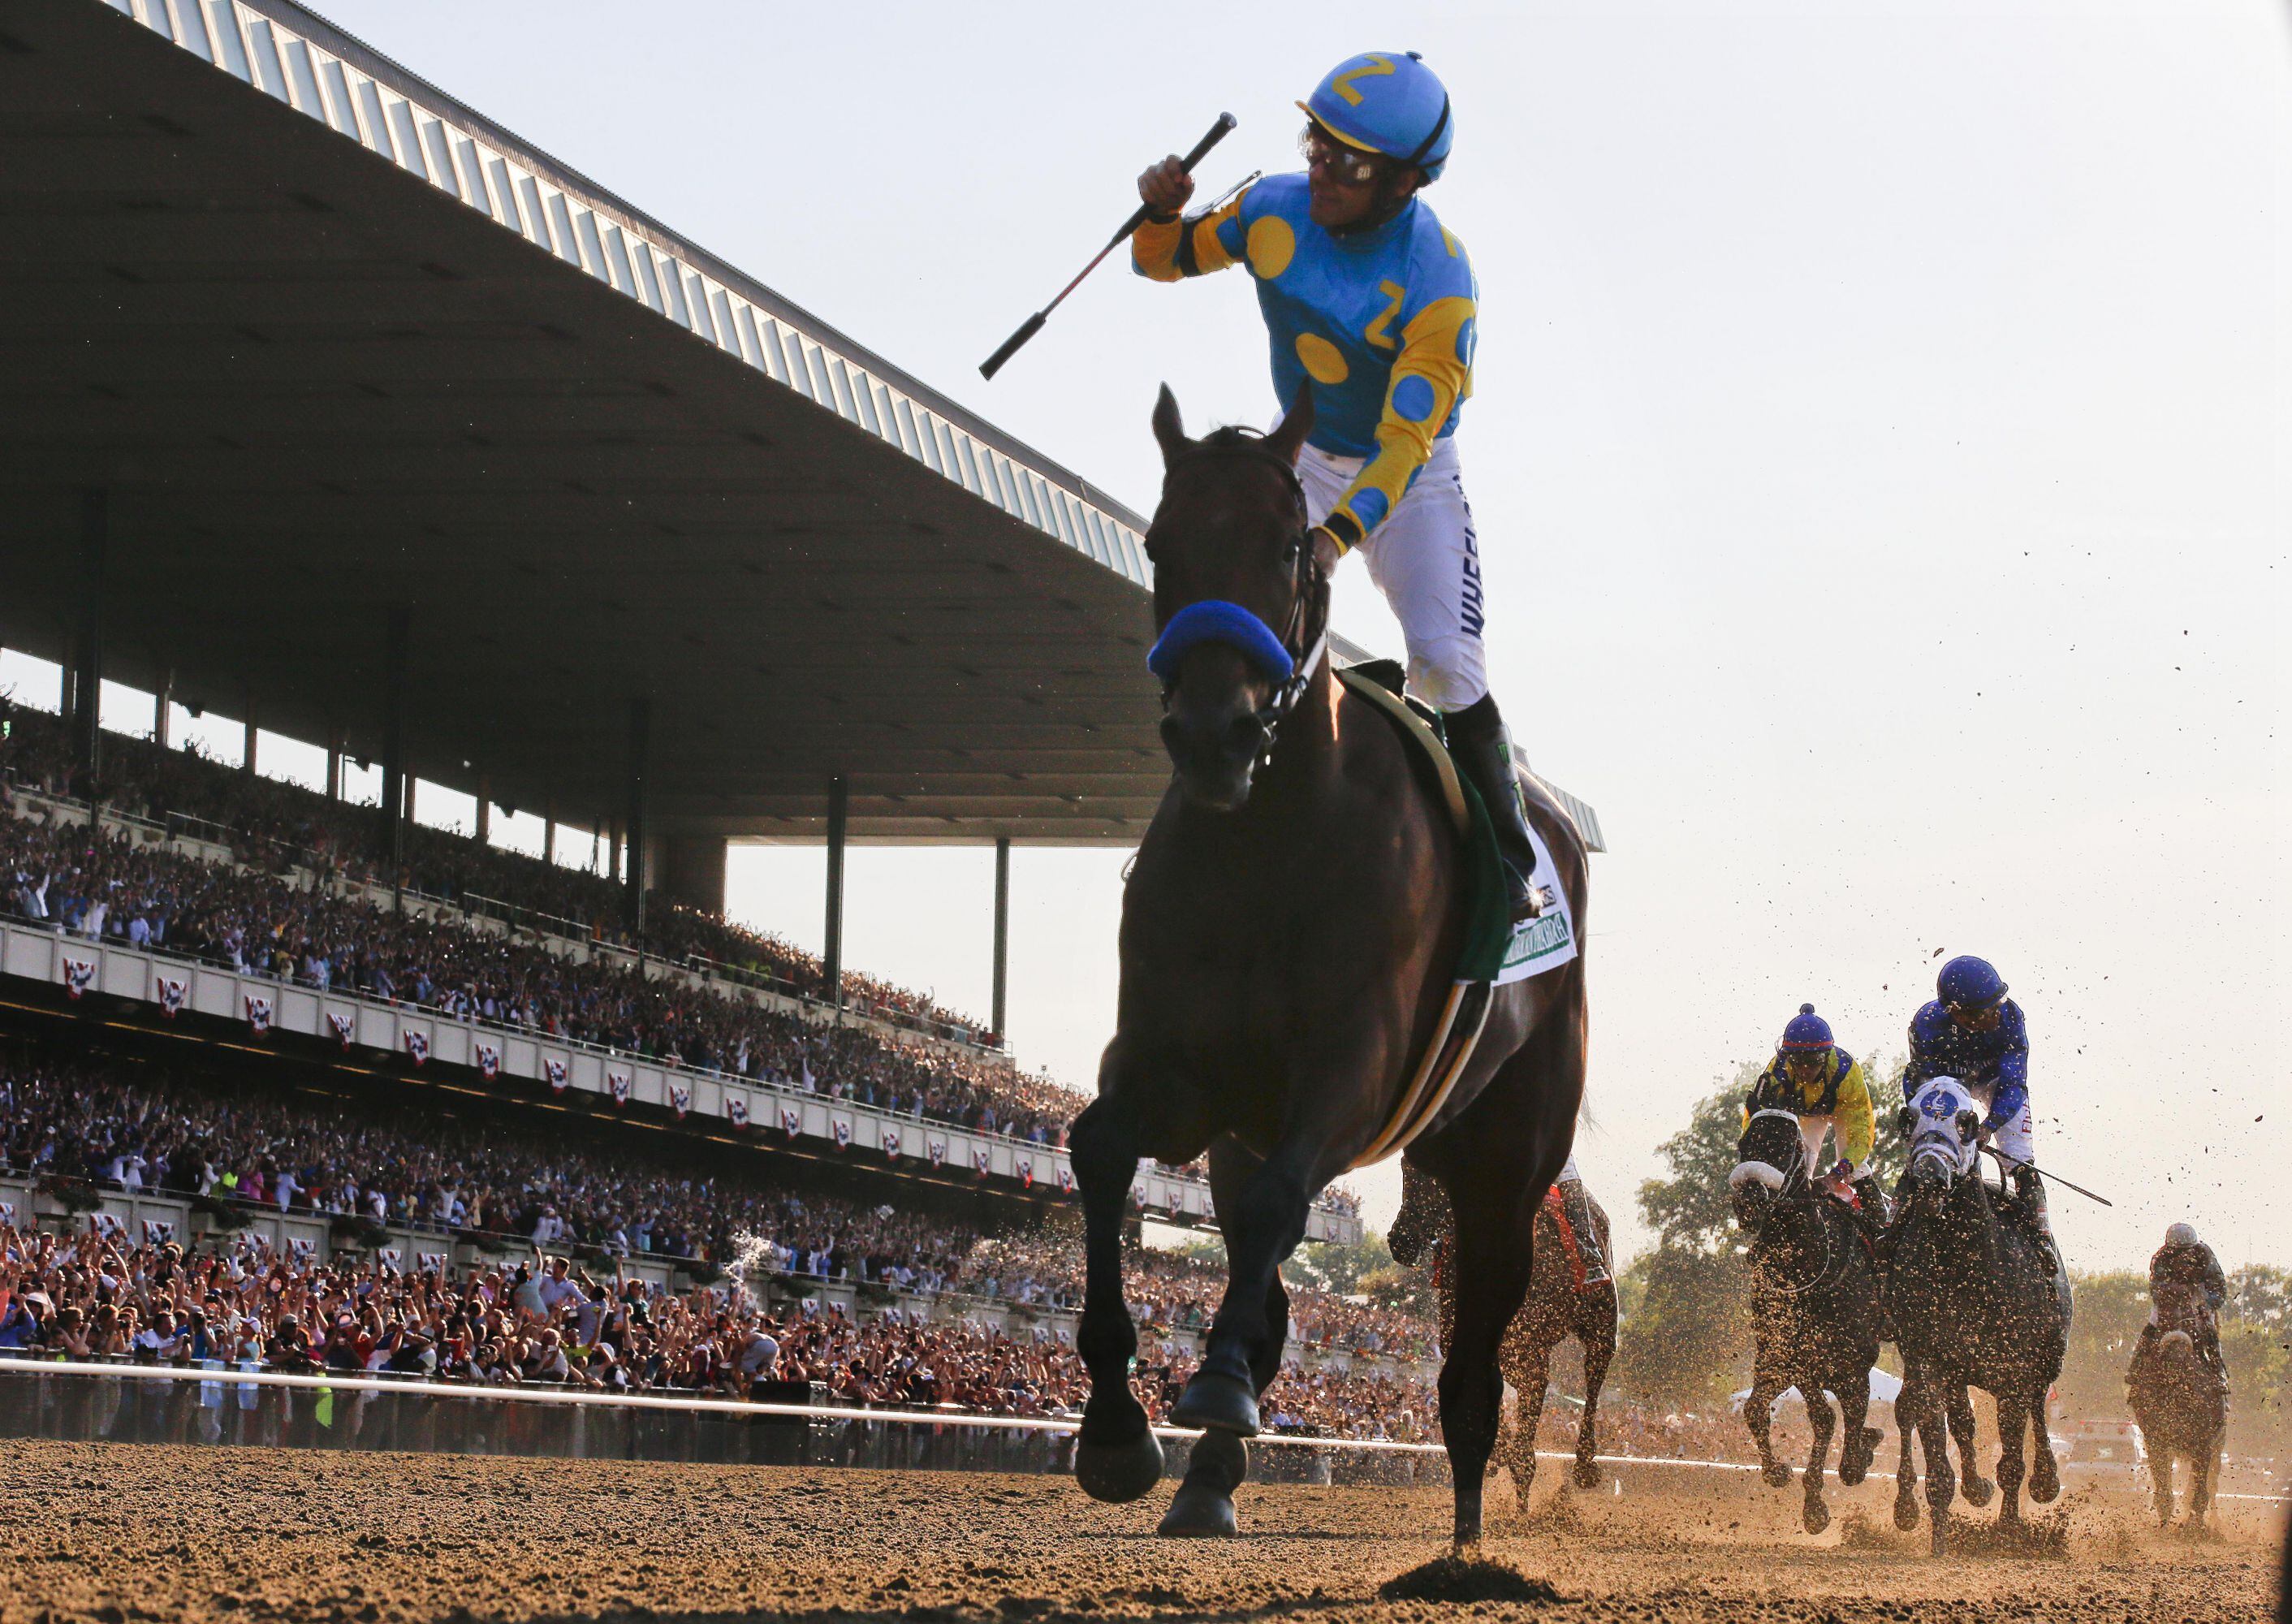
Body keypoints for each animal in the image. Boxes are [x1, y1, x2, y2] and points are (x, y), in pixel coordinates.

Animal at [1059, 382, 1586, 1550]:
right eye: (1160, 542)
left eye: (1290, 547)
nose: (1214, 732)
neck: (1266, 841)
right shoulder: (1175, 1070)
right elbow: (1100, 1151)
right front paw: (1119, 1428)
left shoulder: (1354, 1071)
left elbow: (1273, 1216)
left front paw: (1209, 1388)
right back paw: (1212, 1476)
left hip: (1508, 1156)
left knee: (1483, 1330)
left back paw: (1467, 1525)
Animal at [1733, 1105, 1879, 1532]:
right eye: (1745, 1144)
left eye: (1787, 1147)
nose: (1748, 1202)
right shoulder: (1788, 1356)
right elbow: (1770, 1410)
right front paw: (1780, 1472)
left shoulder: (1853, 1359)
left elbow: (1841, 1417)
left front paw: (1820, 1498)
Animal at [1888, 1073, 2071, 1550]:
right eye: (1911, 1117)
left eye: (1967, 1122)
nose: (1929, 1178)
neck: (1965, 1265)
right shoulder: (1928, 1358)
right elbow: (1939, 1453)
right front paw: (1939, 1538)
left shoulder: (2013, 1371)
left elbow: (2012, 1460)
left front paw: (2008, 1531)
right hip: (1958, 1373)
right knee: (1959, 1423)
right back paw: (1968, 1490)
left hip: (2044, 1361)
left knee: (2037, 1412)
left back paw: (2046, 1480)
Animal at [2117, 1284, 2227, 1532]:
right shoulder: (2156, 1437)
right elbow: (2163, 1482)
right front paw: (2166, 1522)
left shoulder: (2204, 1441)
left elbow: (2200, 1490)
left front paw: (2195, 1527)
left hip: (2217, 1446)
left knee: (2210, 1484)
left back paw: (2213, 1523)